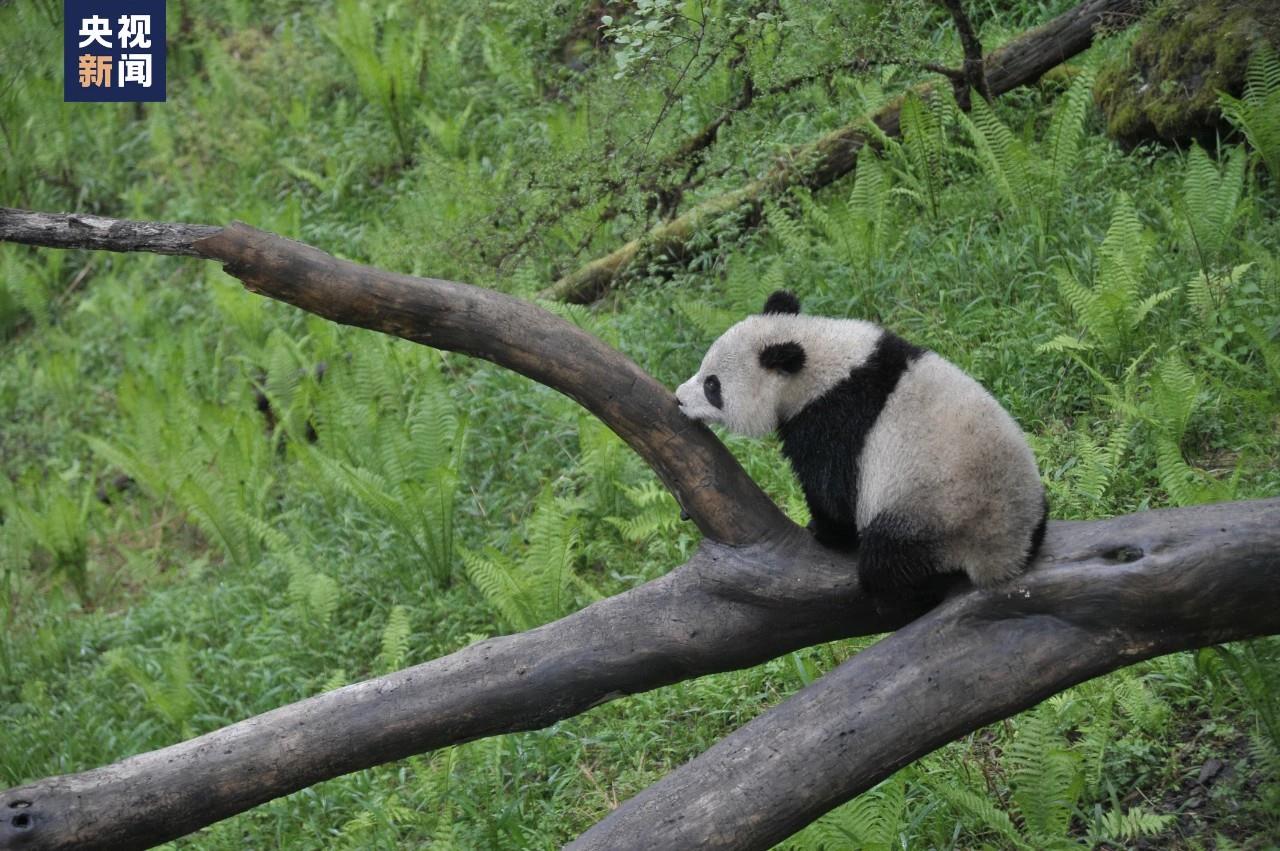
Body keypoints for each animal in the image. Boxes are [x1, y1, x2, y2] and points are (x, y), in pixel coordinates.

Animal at [675, 289, 1044, 593]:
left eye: (712, 386)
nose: (678, 398)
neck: (821, 362)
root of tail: (1002, 559)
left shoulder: (834, 421)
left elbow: (832, 492)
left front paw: (822, 530)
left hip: (926, 519)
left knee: (885, 566)